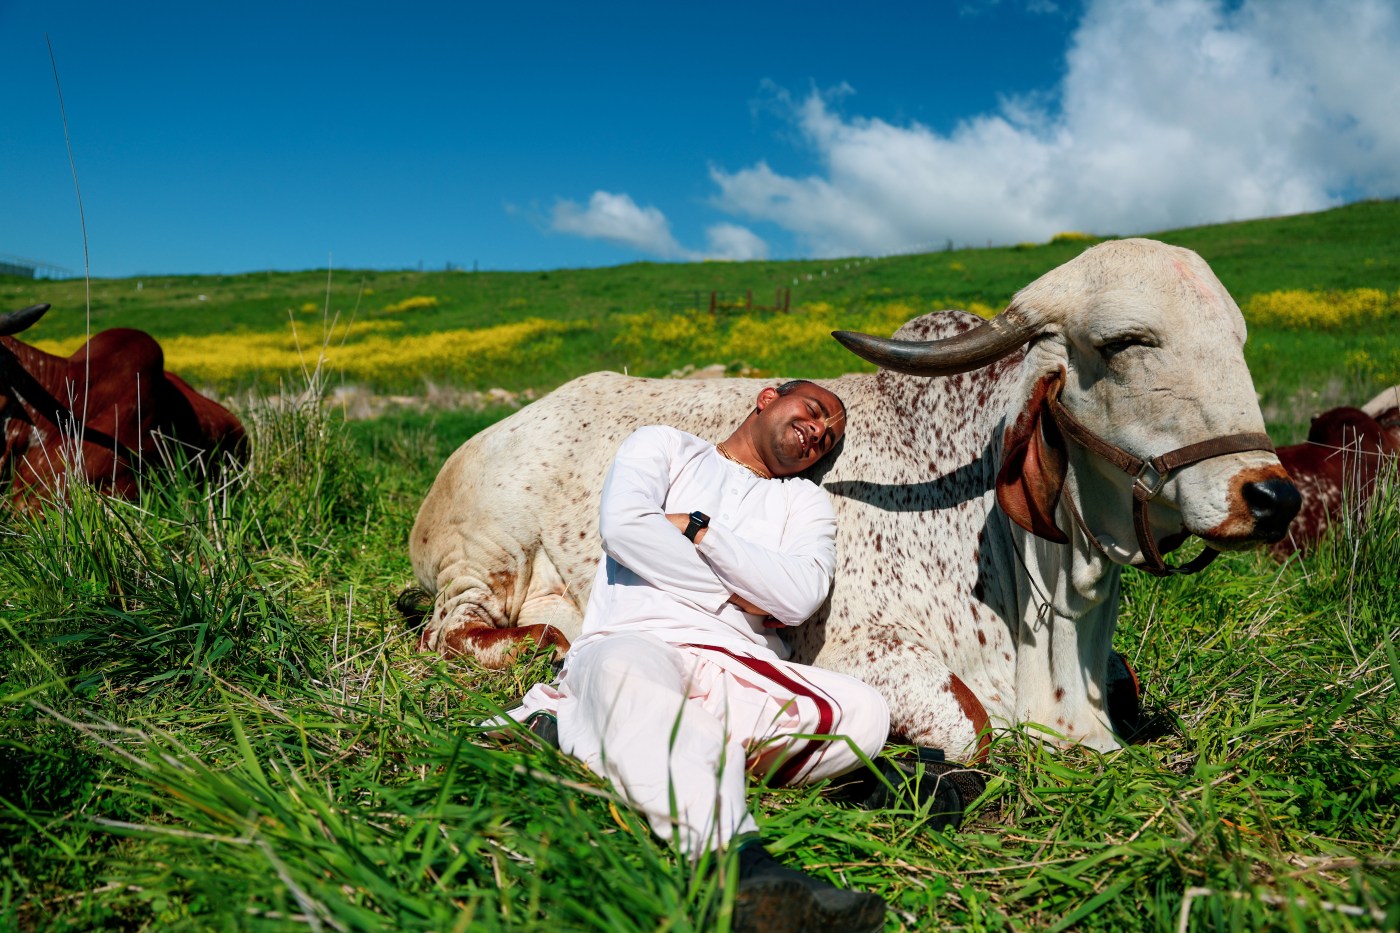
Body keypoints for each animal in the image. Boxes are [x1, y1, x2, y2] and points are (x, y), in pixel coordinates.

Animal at [408, 239, 1299, 756]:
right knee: (459, 634)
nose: (1273, 495)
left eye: (1238, 341)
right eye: (1124, 342)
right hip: (485, 553)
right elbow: (971, 727)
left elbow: (1129, 682)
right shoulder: (856, 652)